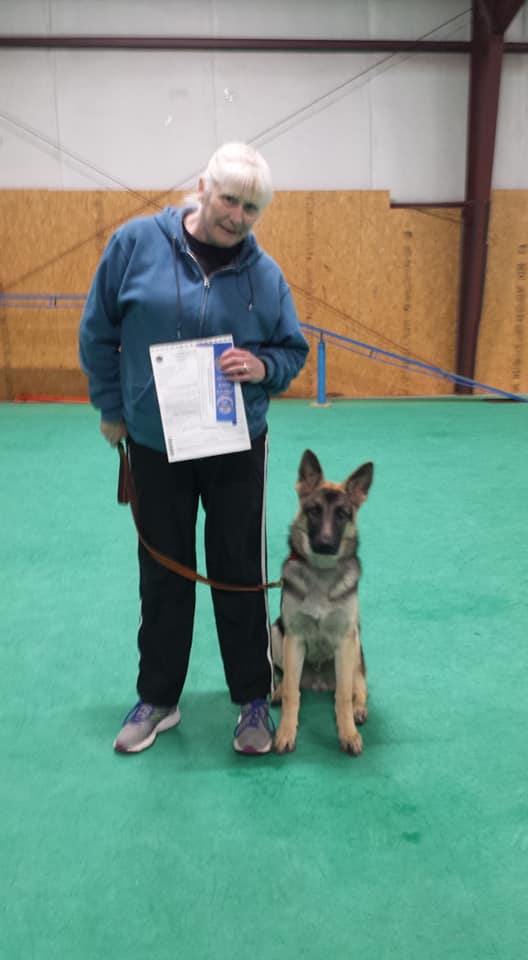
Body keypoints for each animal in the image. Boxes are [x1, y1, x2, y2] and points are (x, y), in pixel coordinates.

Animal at [271, 449, 373, 755]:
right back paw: (277, 691)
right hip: (276, 632)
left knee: (357, 686)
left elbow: (343, 696)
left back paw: (358, 709)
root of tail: (317, 681)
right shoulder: (294, 638)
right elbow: (292, 693)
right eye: (314, 511)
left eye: (342, 514)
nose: (326, 544)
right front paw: (286, 732)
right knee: (286, 680)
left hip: (355, 648)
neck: (321, 573)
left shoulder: (345, 639)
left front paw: (347, 733)